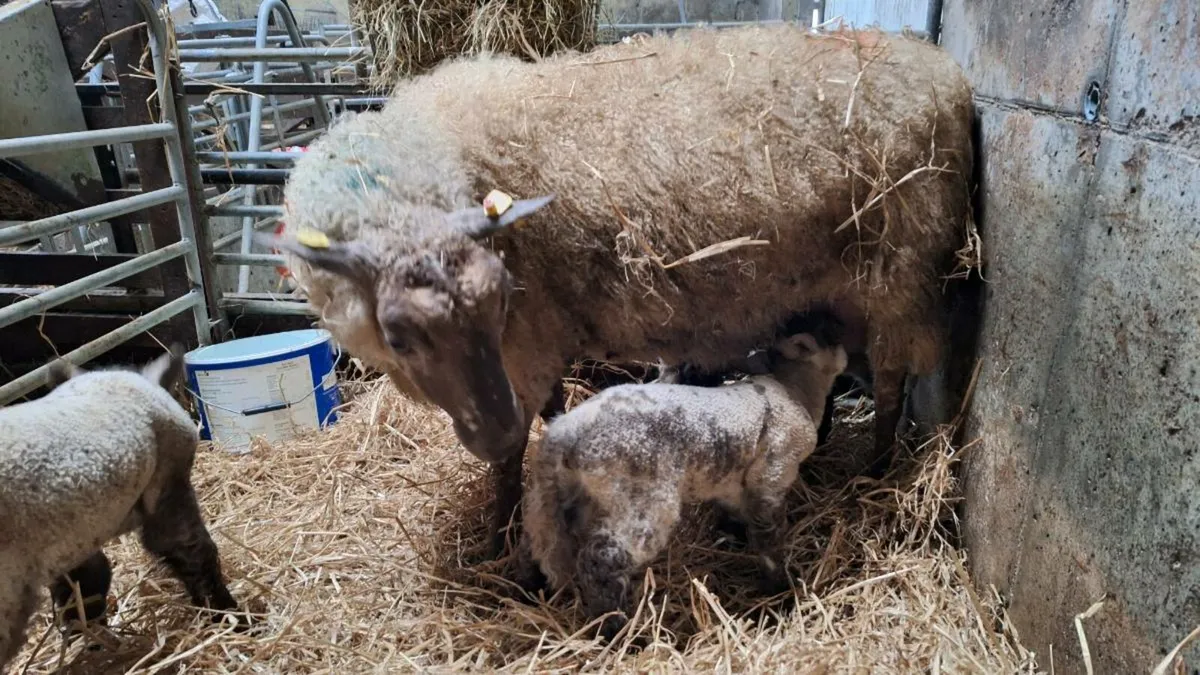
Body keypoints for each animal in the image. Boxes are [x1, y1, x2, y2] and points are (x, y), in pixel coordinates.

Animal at [0, 347, 240, 670]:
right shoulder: (167, 487)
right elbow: (195, 553)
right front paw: (233, 617)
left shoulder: (74, 535)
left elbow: (87, 583)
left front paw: (90, 640)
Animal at [262, 23, 975, 556]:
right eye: (401, 335)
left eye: (499, 302)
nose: (491, 430)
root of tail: (942, 72)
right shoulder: (535, 342)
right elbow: (549, 413)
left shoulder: (524, 342)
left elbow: (514, 456)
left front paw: (498, 535)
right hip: (841, 295)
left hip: (898, 278)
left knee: (891, 387)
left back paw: (875, 472)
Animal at [515, 326, 848, 640]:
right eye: (825, 337)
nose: (846, 348)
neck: (796, 390)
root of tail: (565, 434)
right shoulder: (773, 472)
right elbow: (768, 537)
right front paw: (780, 588)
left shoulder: (732, 481)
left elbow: (736, 515)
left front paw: (732, 536)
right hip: (641, 495)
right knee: (602, 559)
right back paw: (617, 630)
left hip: (564, 494)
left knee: (540, 542)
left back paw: (533, 589)